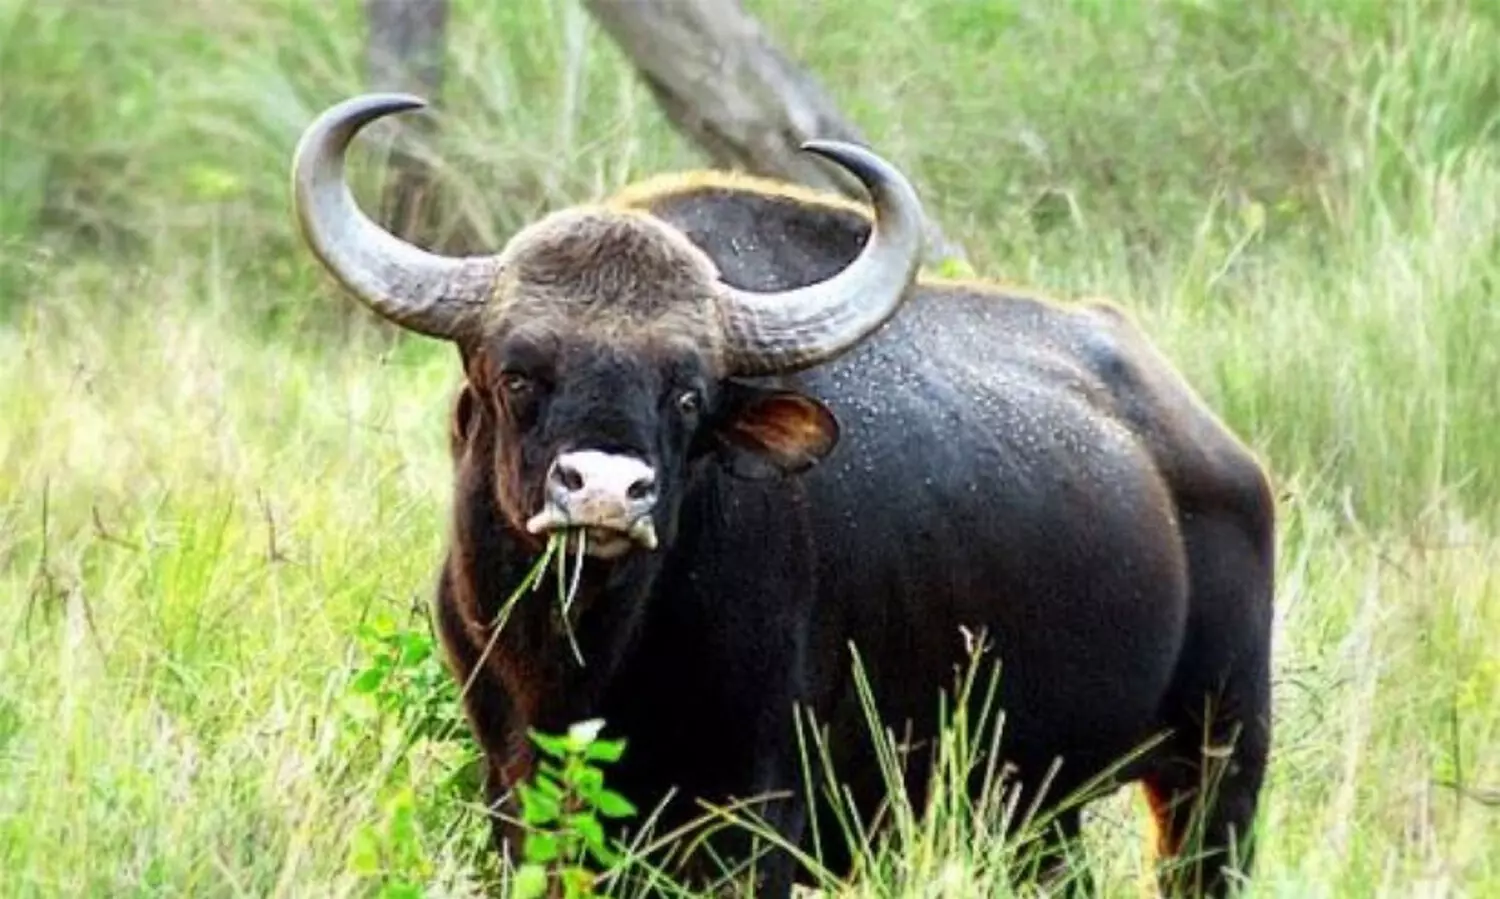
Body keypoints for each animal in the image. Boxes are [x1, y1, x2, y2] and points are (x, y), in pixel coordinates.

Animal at [291, 94, 1275, 897]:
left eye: (688, 393)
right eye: (519, 373)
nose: (605, 492)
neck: (585, 658)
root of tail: (1214, 448)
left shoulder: (756, 812)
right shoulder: (517, 789)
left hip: (1220, 762)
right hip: (1034, 803)